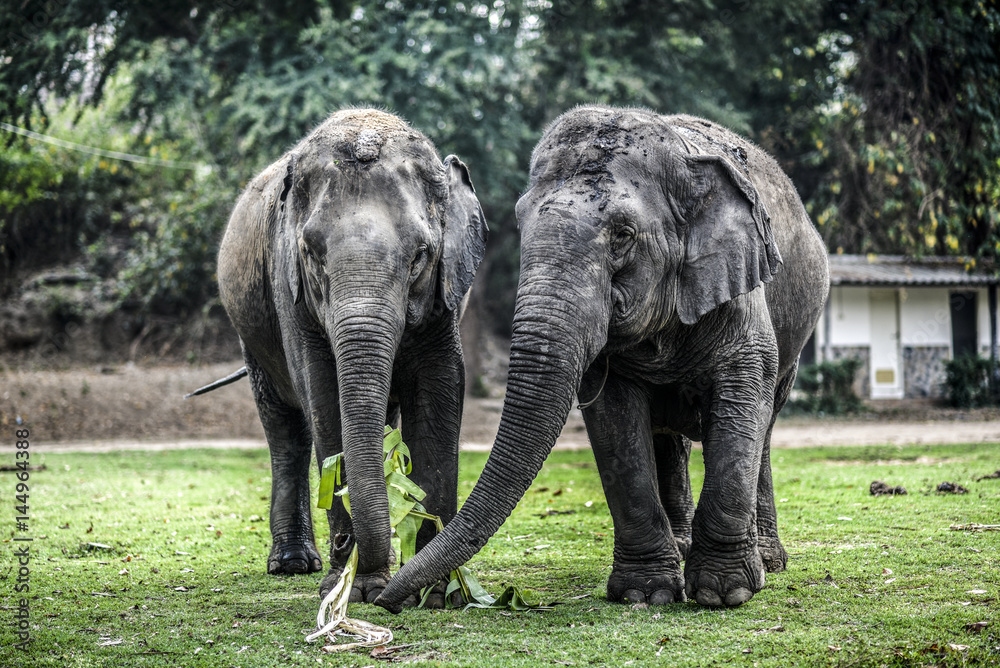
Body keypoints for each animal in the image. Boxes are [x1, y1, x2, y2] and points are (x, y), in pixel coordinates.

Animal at [217, 108, 487, 604]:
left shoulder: (444, 300)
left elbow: (441, 387)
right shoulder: (290, 291)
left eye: (420, 256)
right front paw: (351, 587)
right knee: (285, 427)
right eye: (311, 253)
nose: (346, 546)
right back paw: (293, 564)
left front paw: (436, 592)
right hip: (252, 335)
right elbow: (322, 394)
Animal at [376, 105, 828, 611]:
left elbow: (742, 400)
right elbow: (616, 422)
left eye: (624, 235)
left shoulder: (740, 291)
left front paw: (723, 593)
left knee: (764, 426)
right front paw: (645, 593)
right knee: (669, 438)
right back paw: (681, 549)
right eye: (520, 222)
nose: (385, 600)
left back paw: (767, 561)